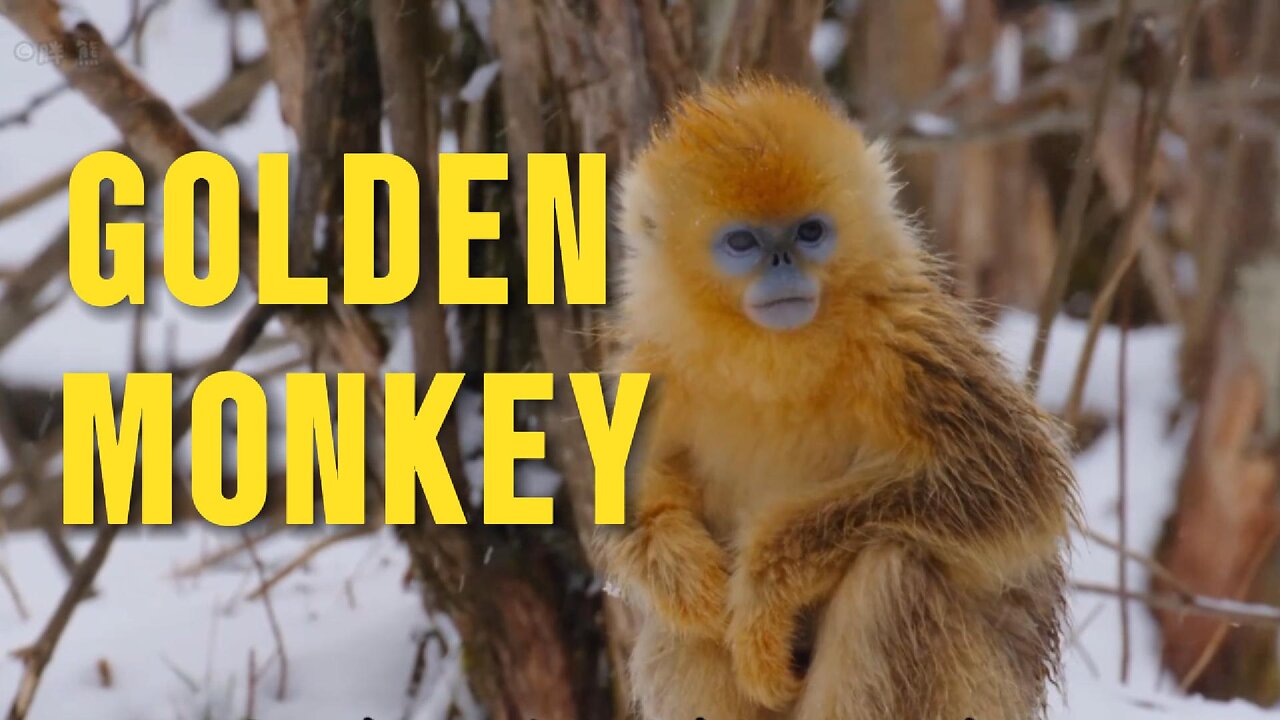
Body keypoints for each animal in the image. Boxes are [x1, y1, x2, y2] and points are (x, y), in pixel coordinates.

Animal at [596, 78, 1077, 720]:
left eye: (809, 232)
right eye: (743, 242)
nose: (783, 263)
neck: (772, 356)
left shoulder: (903, 339)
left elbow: (1019, 483)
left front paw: (764, 591)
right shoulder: (653, 366)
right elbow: (635, 499)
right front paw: (692, 580)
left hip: (983, 694)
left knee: (893, 569)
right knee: (680, 630)